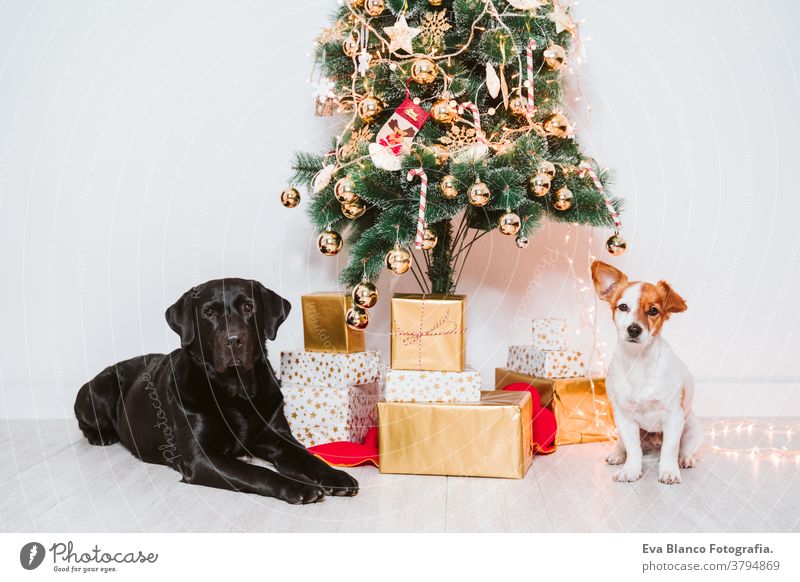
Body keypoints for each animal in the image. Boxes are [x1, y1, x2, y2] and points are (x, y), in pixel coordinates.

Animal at [73, 280, 358, 504]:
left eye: (248, 308)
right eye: (208, 312)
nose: (233, 341)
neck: (236, 390)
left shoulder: (277, 436)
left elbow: (307, 456)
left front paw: (335, 476)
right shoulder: (201, 457)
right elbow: (259, 472)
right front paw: (300, 487)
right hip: (100, 390)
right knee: (84, 422)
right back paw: (102, 436)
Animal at [592, 262, 704, 486]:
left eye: (653, 311)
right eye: (623, 307)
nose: (634, 329)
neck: (639, 362)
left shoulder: (674, 417)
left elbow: (670, 449)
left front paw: (669, 471)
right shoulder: (624, 418)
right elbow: (633, 450)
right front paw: (631, 470)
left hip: (691, 427)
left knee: (683, 449)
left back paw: (685, 459)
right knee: (623, 446)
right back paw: (617, 455)